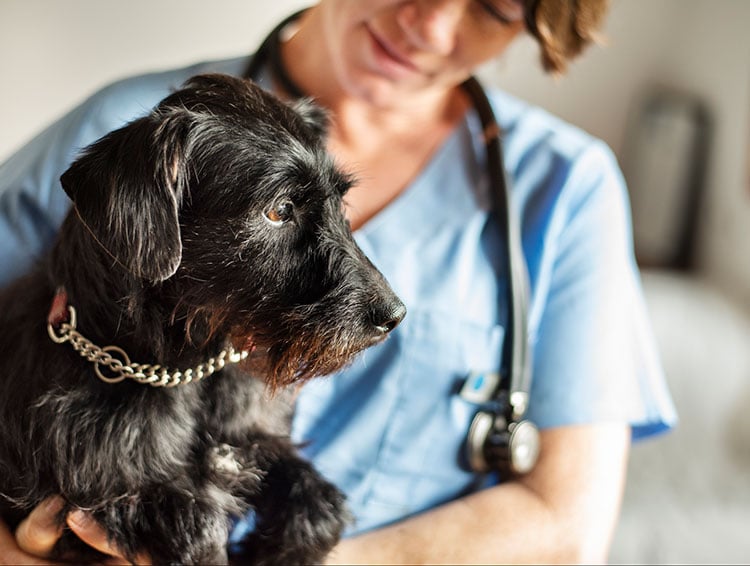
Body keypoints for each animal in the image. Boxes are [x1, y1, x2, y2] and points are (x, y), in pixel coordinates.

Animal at [0, 73, 406, 564]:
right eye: (280, 210)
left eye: (340, 203)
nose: (395, 315)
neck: (187, 369)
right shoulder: (119, 495)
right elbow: (200, 528)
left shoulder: (253, 443)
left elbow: (320, 506)